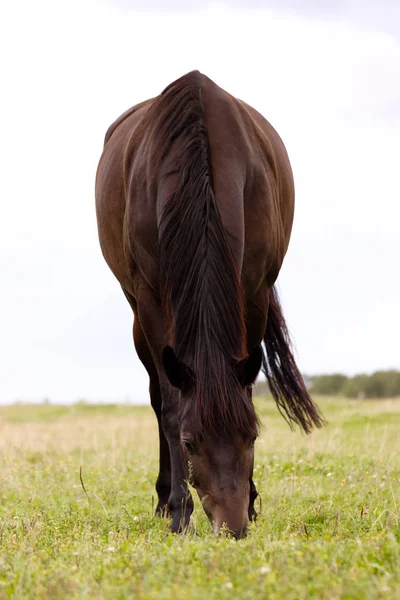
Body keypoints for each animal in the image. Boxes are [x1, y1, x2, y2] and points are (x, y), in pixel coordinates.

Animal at [95, 71, 324, 540]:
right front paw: (178, 513)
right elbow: (169, 405)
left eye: (251, 437)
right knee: (155, 393)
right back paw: (164, 500)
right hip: (138, 315)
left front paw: (252, 501)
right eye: (190, 442)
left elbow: (247, 391)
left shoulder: (254, 290)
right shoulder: (151, 298)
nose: (232, 528)